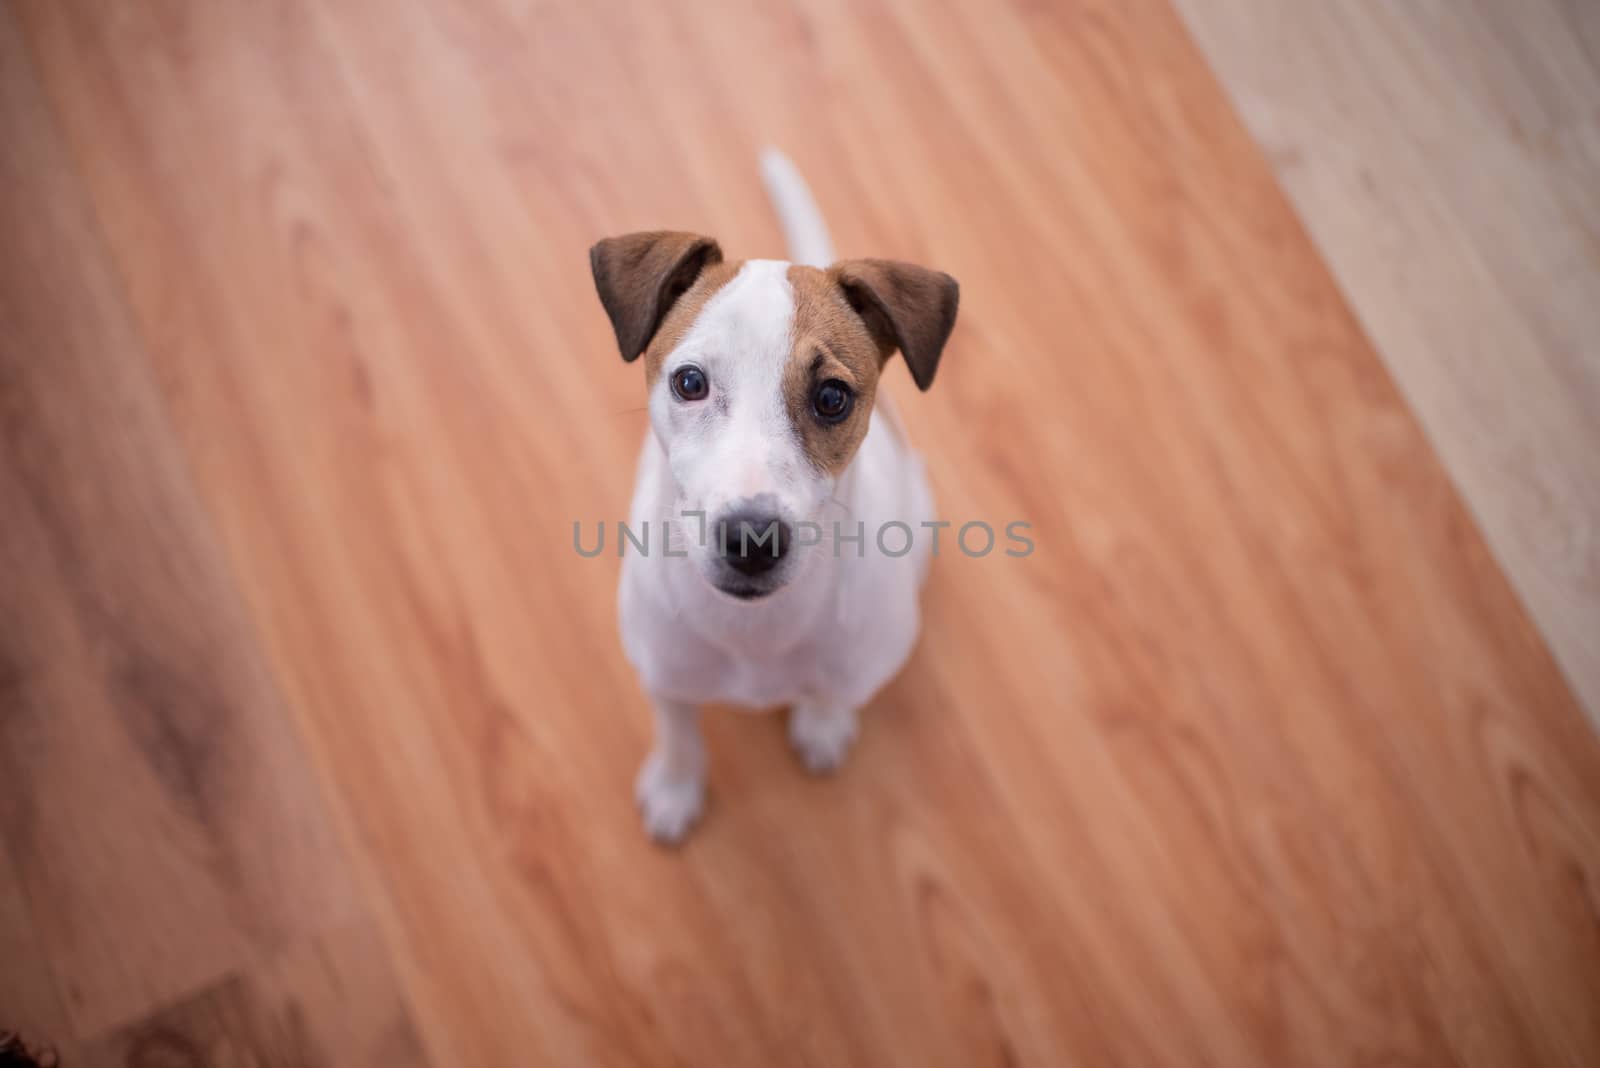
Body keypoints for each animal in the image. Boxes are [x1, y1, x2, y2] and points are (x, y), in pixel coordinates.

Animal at [592, 147, 953, 844]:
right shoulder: (664, 674)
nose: (751, 541)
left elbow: (831, 692)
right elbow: (678, 733)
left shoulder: (862, 660)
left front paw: (822, 725)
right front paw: (675, 787)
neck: (756, 631)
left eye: (832, 397)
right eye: (689, 382)